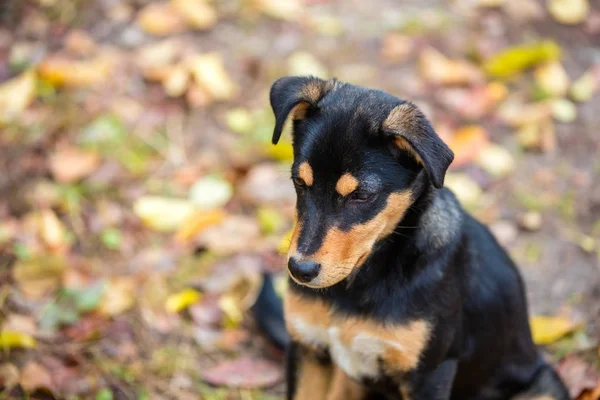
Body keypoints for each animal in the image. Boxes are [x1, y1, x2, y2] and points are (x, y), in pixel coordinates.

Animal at [264, 76, 572, 400]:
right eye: (299, 182)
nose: (300, 270)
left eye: (361, 195)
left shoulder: (430, 373)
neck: (363, 280)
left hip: (543, 386)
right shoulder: (308, 348)